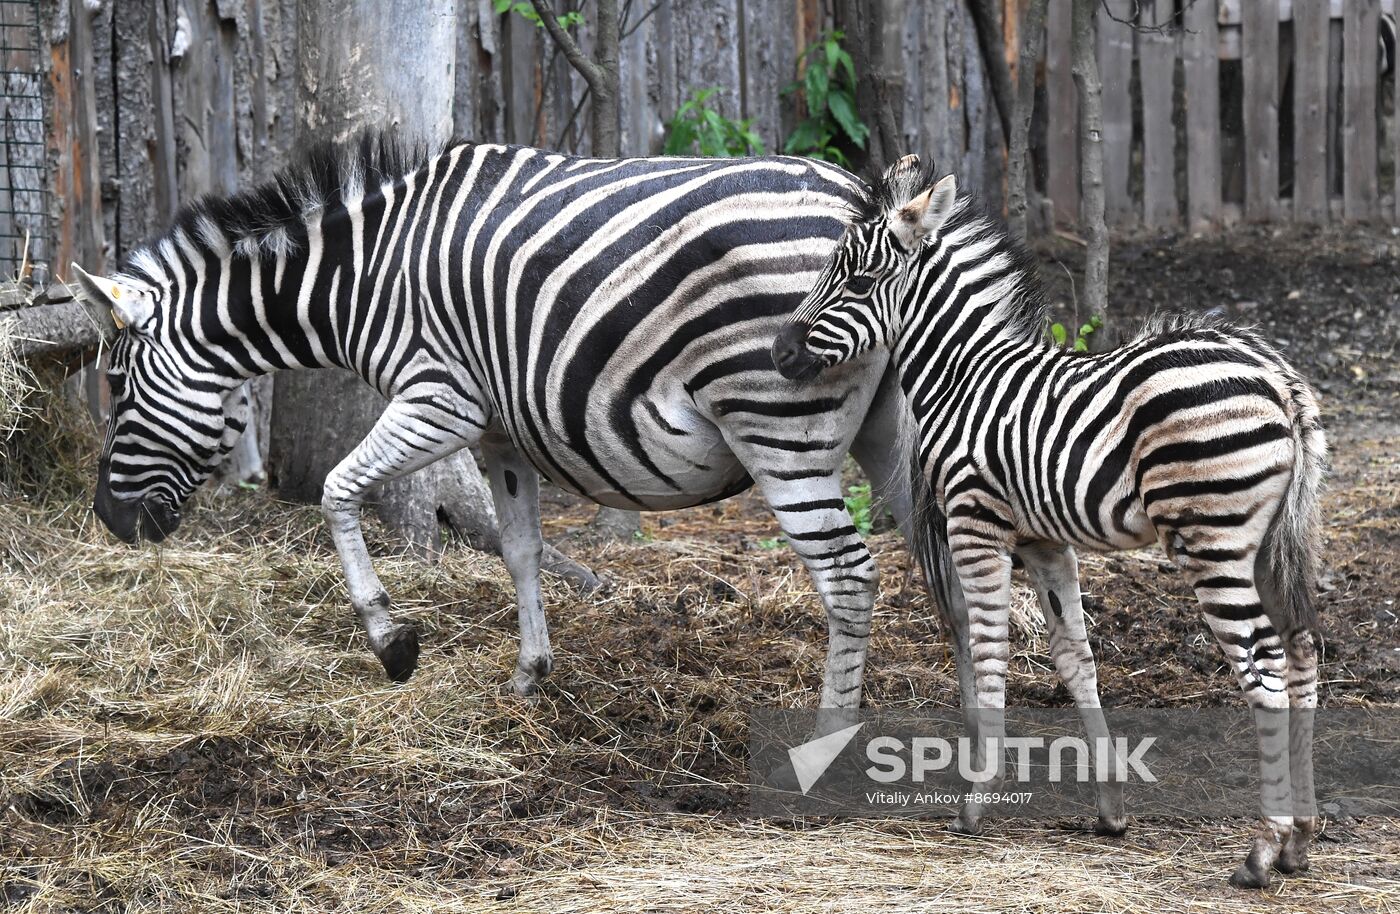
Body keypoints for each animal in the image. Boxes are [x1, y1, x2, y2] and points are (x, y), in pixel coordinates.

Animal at [70, 134, 917, 709]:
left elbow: (338, 491)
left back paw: (828, 737)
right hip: (895, 424)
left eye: (116, 384)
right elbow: (521, 551)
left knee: (847, 576)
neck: (361, 279)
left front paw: (392, 641)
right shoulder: (502, 431)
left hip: (777, 424)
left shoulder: (438, 399)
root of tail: (861, 200)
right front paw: (529, 676)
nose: (108, 518)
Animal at [772, 156, 1327, 888]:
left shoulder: (977, 521)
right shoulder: (1044, 541)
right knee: (1302, 649)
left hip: (1214, 540)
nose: (778, 352)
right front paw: (1110, 807)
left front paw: (976, 800)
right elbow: (1075, 657)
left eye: (857, 281)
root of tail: (1277, 377)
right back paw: (1300, 840)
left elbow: (989, 647)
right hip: (1270, 542)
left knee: (1264, 662)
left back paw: (1263, 847)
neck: (960, 375)